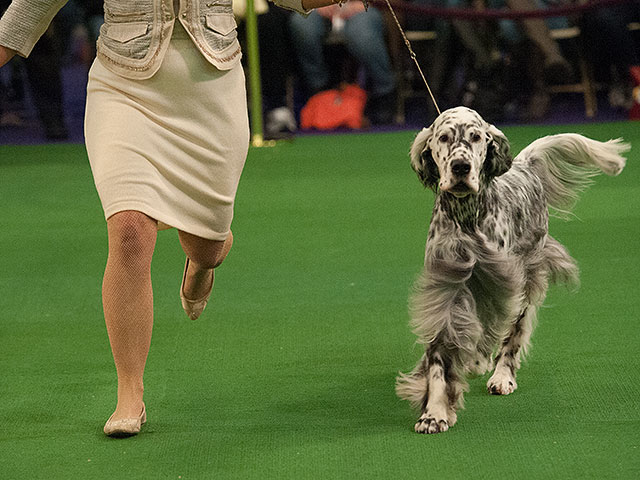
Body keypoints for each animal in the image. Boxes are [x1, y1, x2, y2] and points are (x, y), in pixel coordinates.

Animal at [398, 108, 628, 436]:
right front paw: (434, 412)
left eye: (476, 136)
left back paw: (501, 375)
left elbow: (494, 331)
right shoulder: (446, 283)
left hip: (527, 276)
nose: (460, 166)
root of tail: (524, 165)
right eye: (443, 137)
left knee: (513, 333)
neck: (467, 217)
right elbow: (441, 353)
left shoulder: (501, 279)